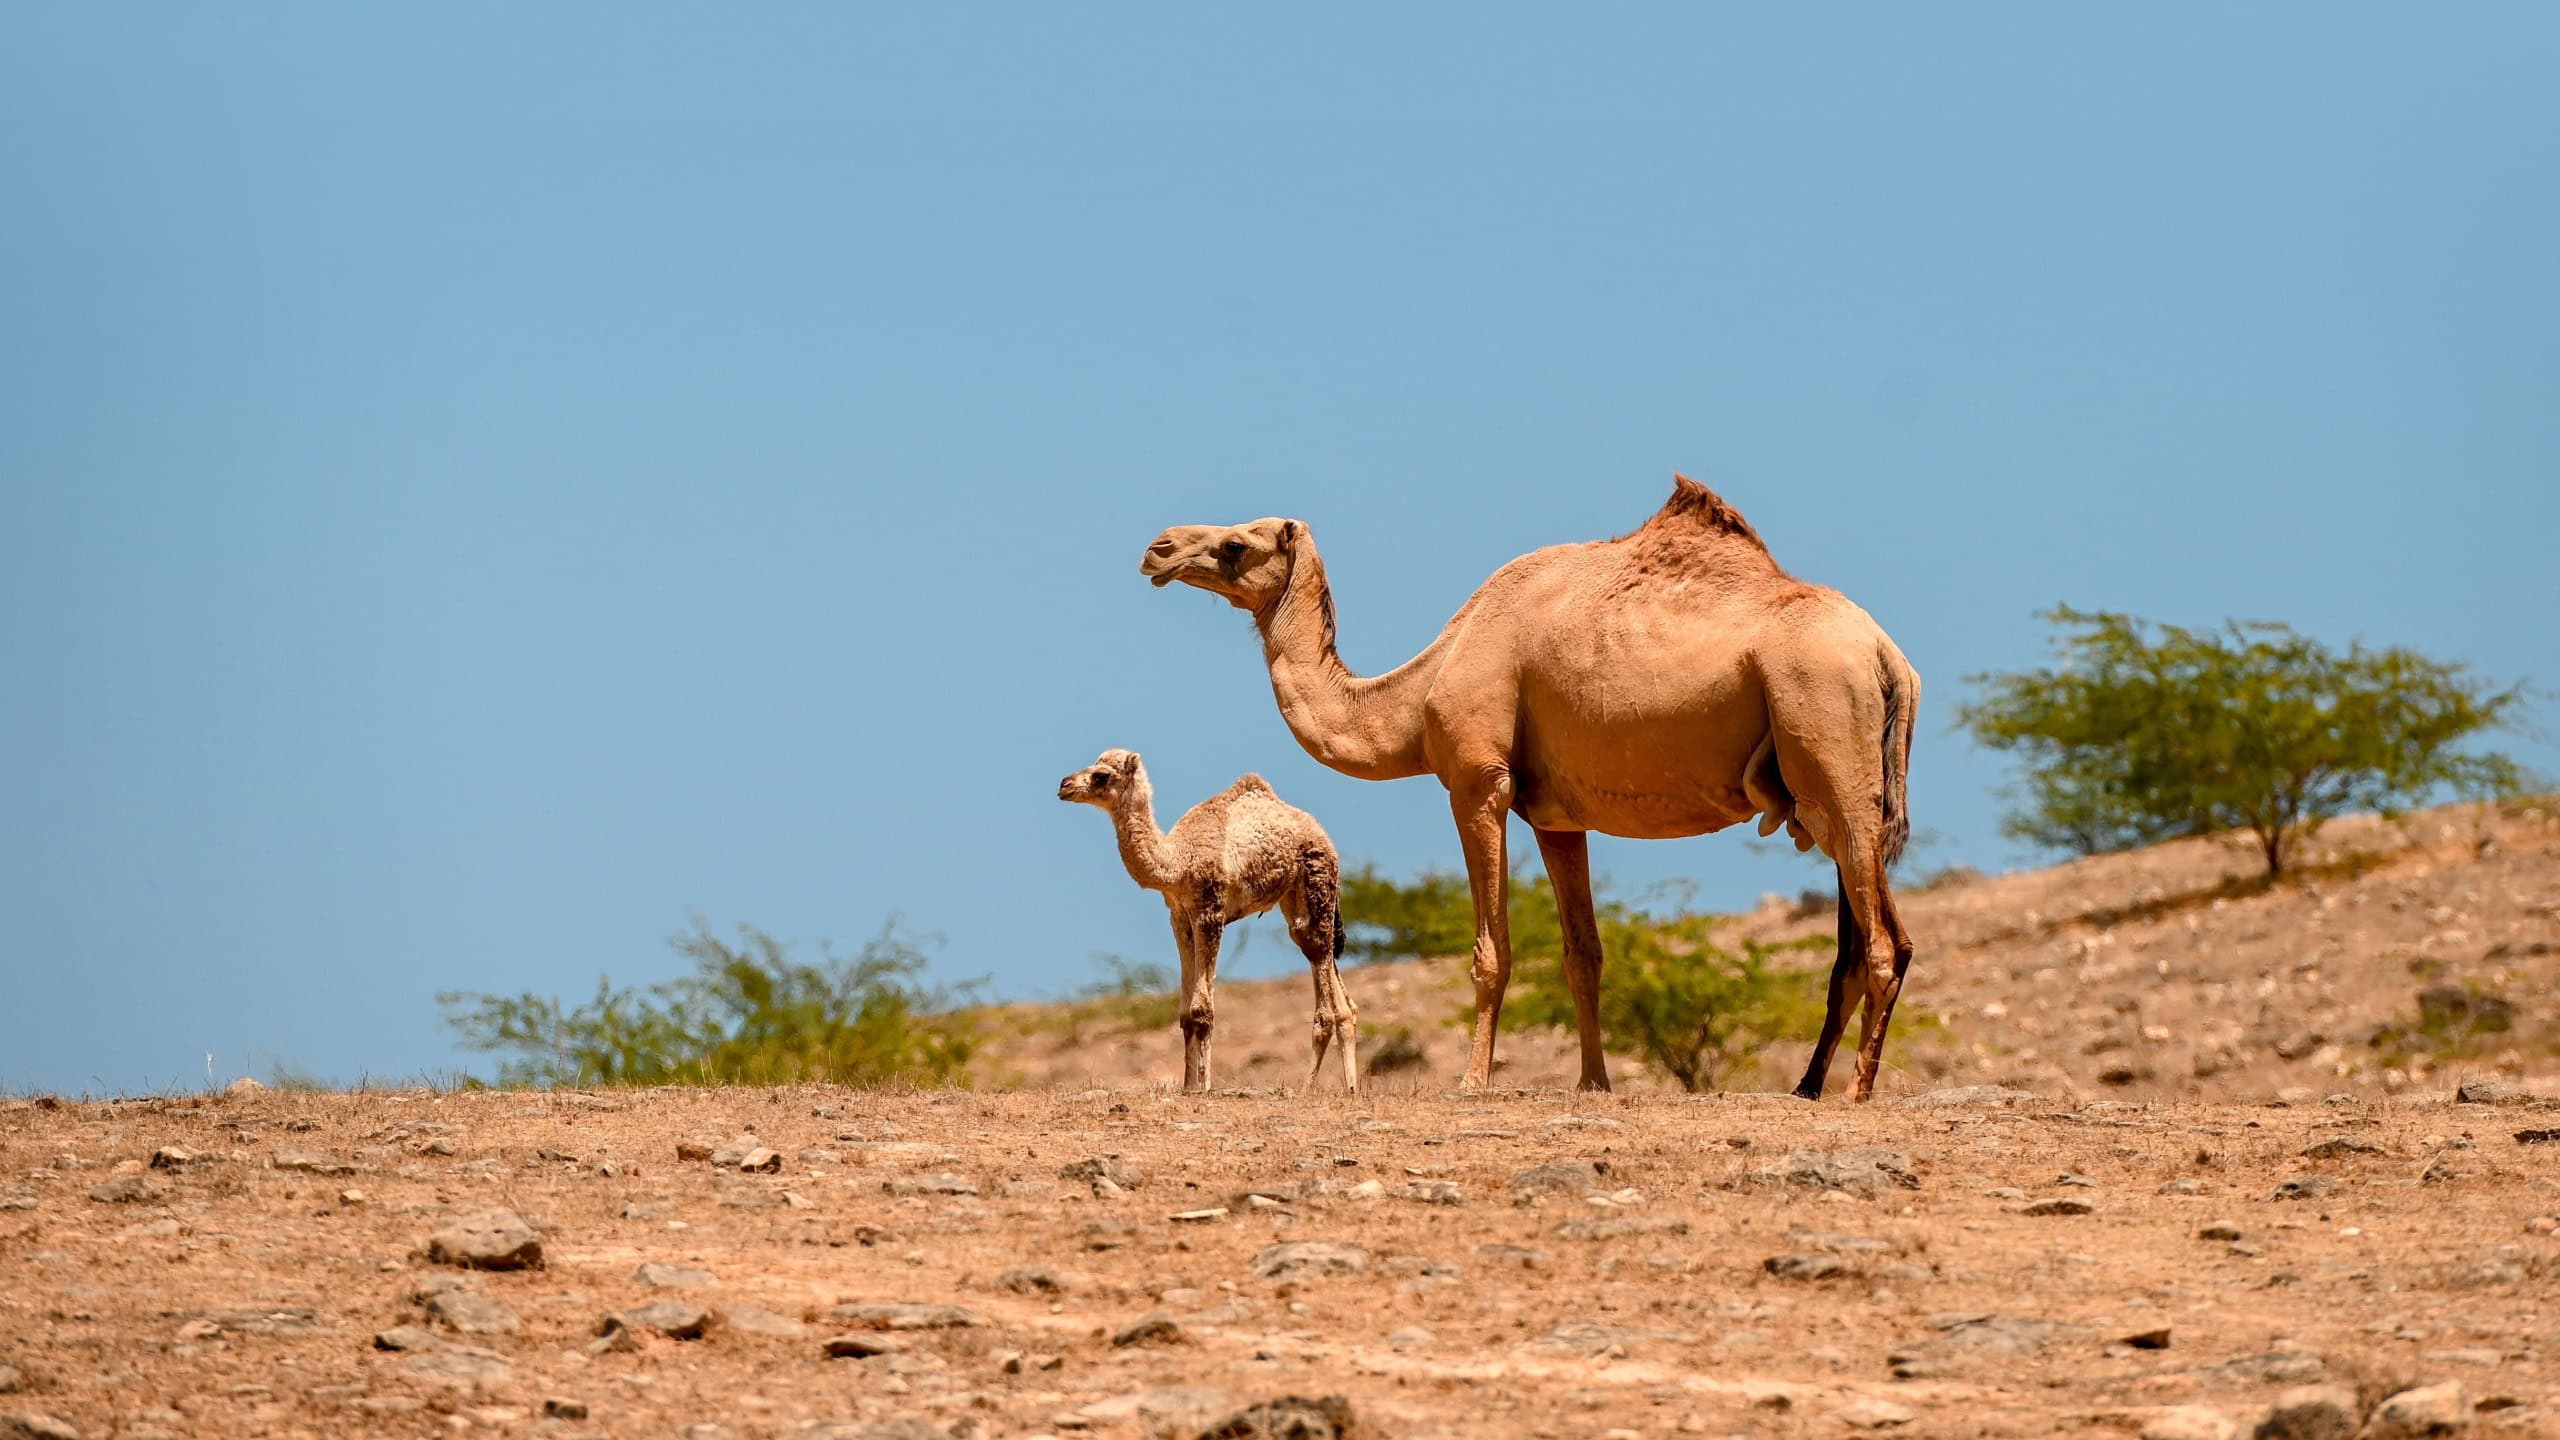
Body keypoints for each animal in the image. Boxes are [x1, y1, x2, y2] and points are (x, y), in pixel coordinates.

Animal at [1056, 748, 1360, 1095]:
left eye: (1101, 775)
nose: (1064, 785)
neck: (1177, 861)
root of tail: (1324, 838)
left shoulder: (1209, 910)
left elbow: (1202, 1010)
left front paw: (1203, 1085)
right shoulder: (1179, 916)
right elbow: (1185, 1015)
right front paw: (1188, 1086)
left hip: (1317, 881)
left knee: (1324, 992)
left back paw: (1307, 1086)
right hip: (1295, 902)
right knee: (1329, 974)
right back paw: (1351, 1088)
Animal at [1138, 476, 1920, 1101]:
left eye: (1237, 543)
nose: (1157, 548)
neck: (1423, 686)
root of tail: (1890, 657)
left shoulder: (1478, 782)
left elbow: (1493, 951)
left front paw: (1472, 1079)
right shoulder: (1556, 816)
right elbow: (1584, 954)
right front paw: (1594, 1082)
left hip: (1828, 733)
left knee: (1884, 941)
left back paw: (1856, 1089)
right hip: (1832, 790)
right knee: (1864, 940)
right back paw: (1809, 1084)